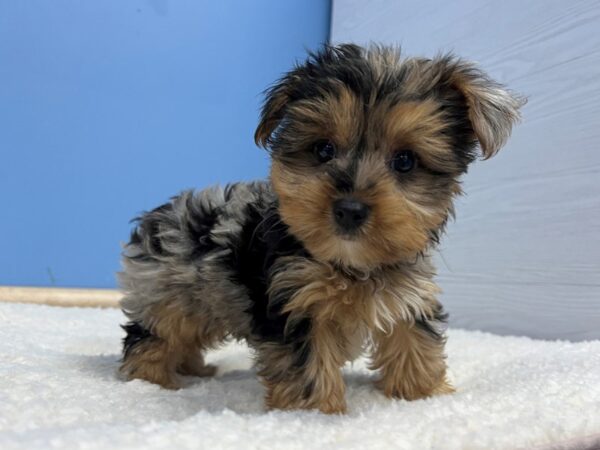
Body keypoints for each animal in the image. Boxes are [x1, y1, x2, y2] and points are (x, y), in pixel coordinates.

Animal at [119, 44, 524, 414]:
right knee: (155, 335)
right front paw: (315, 414)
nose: (350, 209)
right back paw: (152, 381)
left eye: (406, 161)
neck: (348, 262)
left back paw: (194, 369)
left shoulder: (406, 291)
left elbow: (413, 339)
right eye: (323, 150)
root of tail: (157, 217)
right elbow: (308, 367)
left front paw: (425, 397)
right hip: (172, 292)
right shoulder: (296, 301)